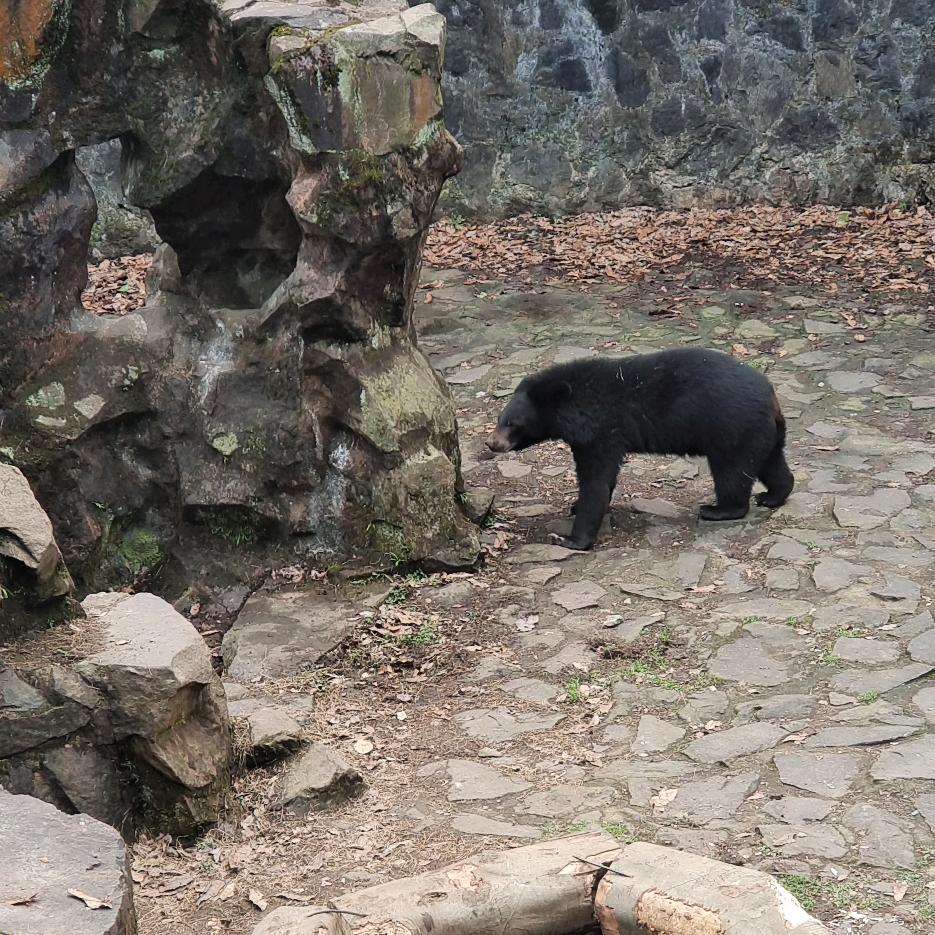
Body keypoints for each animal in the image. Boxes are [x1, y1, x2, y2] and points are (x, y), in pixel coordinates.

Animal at [486, 347, 794, 551]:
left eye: (513, 423)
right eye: (500, 418)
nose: (492, 443)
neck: (575, 408)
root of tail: (771, 395)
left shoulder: (601, 432)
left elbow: (596, 483)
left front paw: (569, 538)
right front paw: (574, 508)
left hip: (731, 429)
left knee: (732, 473)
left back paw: (717, 509)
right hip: (762, 432)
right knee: (772, 463)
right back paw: (772, 496)